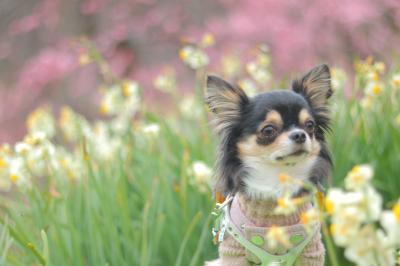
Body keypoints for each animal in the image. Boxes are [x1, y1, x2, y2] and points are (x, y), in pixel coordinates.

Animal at [205, 65, 332, 266]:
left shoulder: (312, 251)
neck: (278, 180)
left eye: (310, 125)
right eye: (269, 130)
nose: (300, 134)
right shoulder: (234, 252)